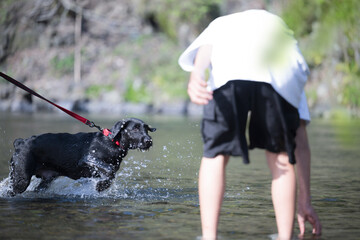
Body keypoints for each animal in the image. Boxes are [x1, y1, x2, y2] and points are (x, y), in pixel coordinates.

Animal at [7, 117, 155, 196]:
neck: (113, 142)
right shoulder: (88, 159)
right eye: (135, 128)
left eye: (146, 129)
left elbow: (110, 175)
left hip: (45, 181)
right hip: (21, 179)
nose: (149, 141)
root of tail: (20, 142)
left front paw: (102, 186)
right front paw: (100, 186)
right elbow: (110, 171)